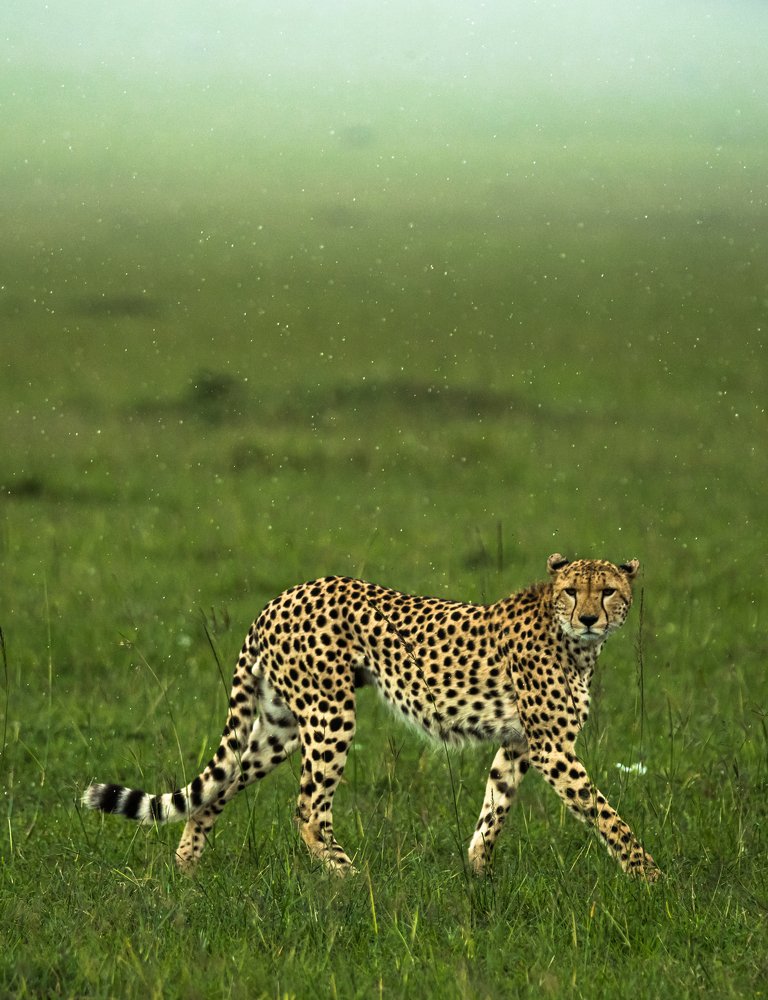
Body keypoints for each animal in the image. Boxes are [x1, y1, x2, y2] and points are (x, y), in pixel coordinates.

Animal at [82, 553, 659, 881]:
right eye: (573, 591)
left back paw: (185, 872)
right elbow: (605, 814)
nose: (590, 617)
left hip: (277, 728)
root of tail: (281, 597)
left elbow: (494, 810)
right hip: (330, 713)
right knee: (308, 810)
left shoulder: (518, 744)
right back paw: (349, 878)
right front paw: (650, 877)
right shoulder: (552, 748)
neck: (573, 641)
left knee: (216, 792)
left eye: (608, 590)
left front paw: (477, 874)